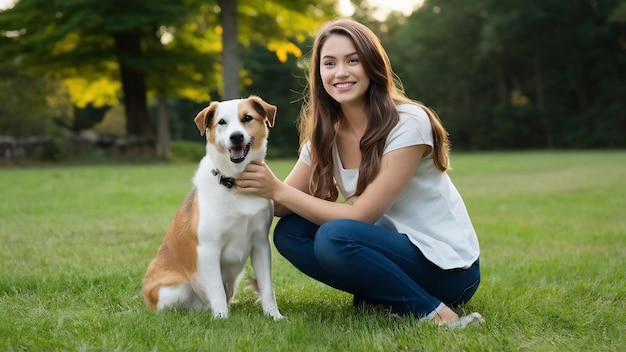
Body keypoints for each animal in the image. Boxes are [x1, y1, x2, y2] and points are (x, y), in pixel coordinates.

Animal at [143, 95, 282, 320]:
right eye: (222, 122)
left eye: (247, 118)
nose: (236, 137)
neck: (235, 182)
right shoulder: (208, 249)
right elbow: (216, 289)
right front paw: (221, 319)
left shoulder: (261, 245)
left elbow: (267, 288)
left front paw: (274, 316)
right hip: (174, 290)